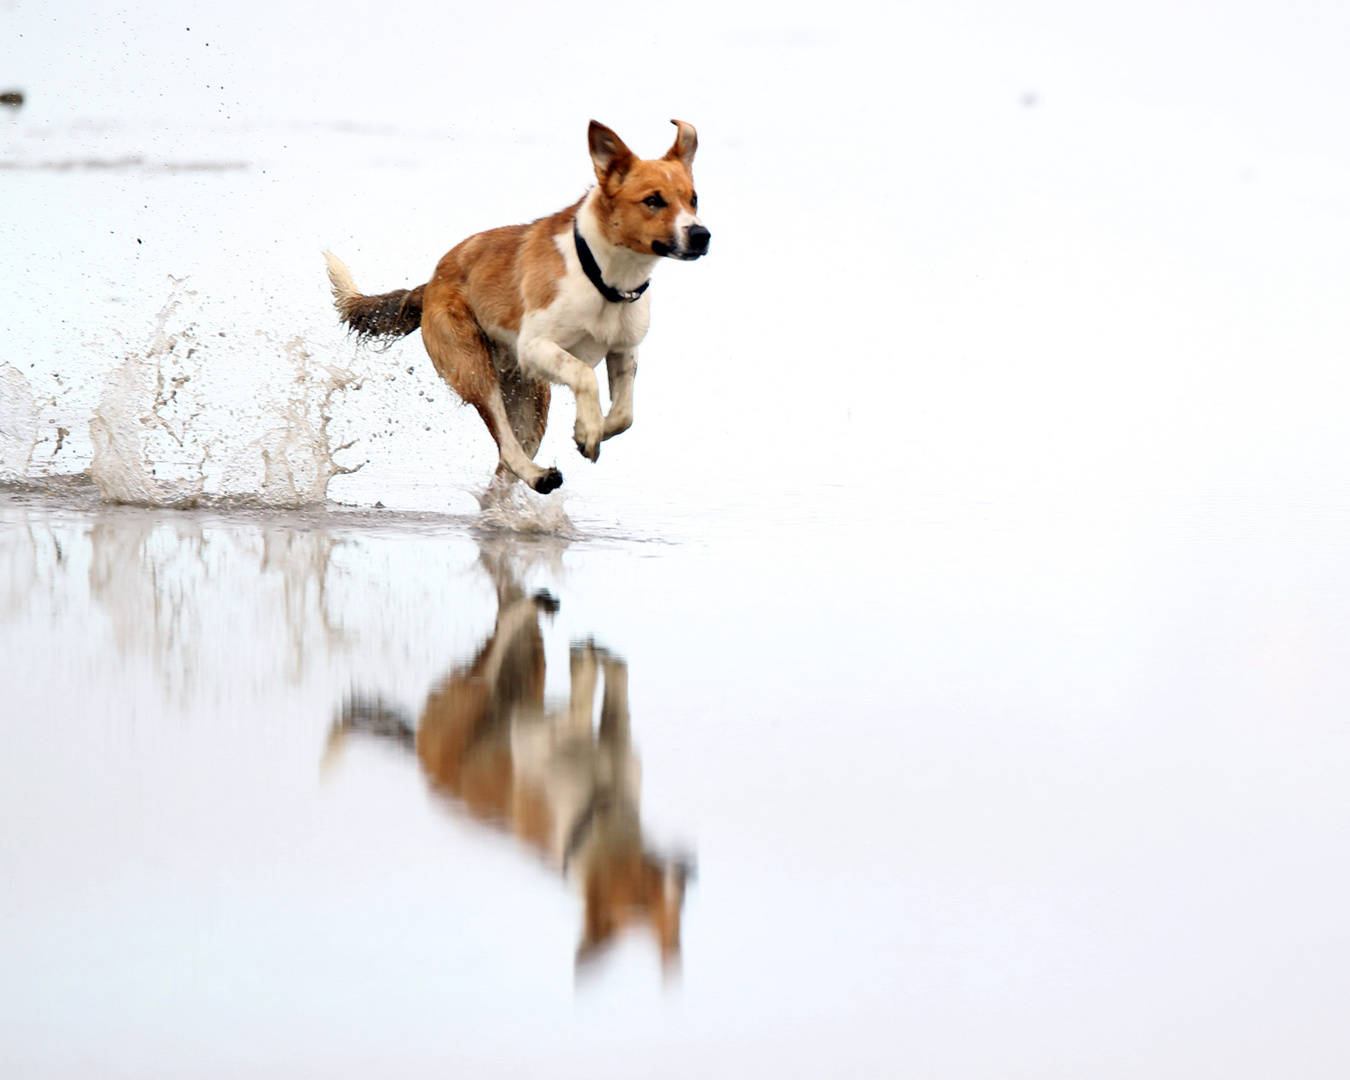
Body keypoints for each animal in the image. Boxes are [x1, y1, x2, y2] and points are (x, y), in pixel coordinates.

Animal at [322, 119, 712, 494]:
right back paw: (539, 477)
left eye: (694, 199)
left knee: (505, 464)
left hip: (530, 400)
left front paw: (590, 430)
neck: (603, 279)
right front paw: (587, 430)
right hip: (474, 368)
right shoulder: (535, 346)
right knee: (507, 447)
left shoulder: (623, 349)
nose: (701, 235)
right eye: (653, 200)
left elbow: (624, 415)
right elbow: (584, 376)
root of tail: (431, 283)